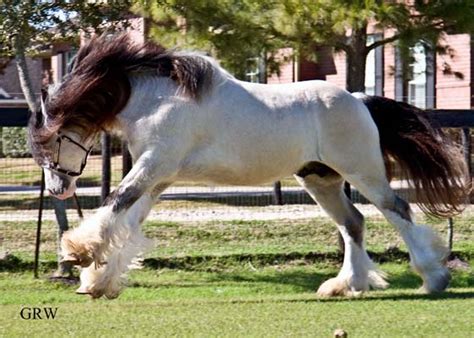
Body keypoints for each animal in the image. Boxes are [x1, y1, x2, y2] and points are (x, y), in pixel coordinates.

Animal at [27, 34, 468, 298]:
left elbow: (116, 204)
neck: (157, 99)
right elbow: (127, 223)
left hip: (364, 173)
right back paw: (347, 285)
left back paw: (434, 278)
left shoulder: (152, 168)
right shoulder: (158, 179)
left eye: (49, 143)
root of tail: (360, 99)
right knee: (353, 223)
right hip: (321, 180)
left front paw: (78, 253)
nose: (59, 190)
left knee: (398, 210)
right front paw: (99, 280)